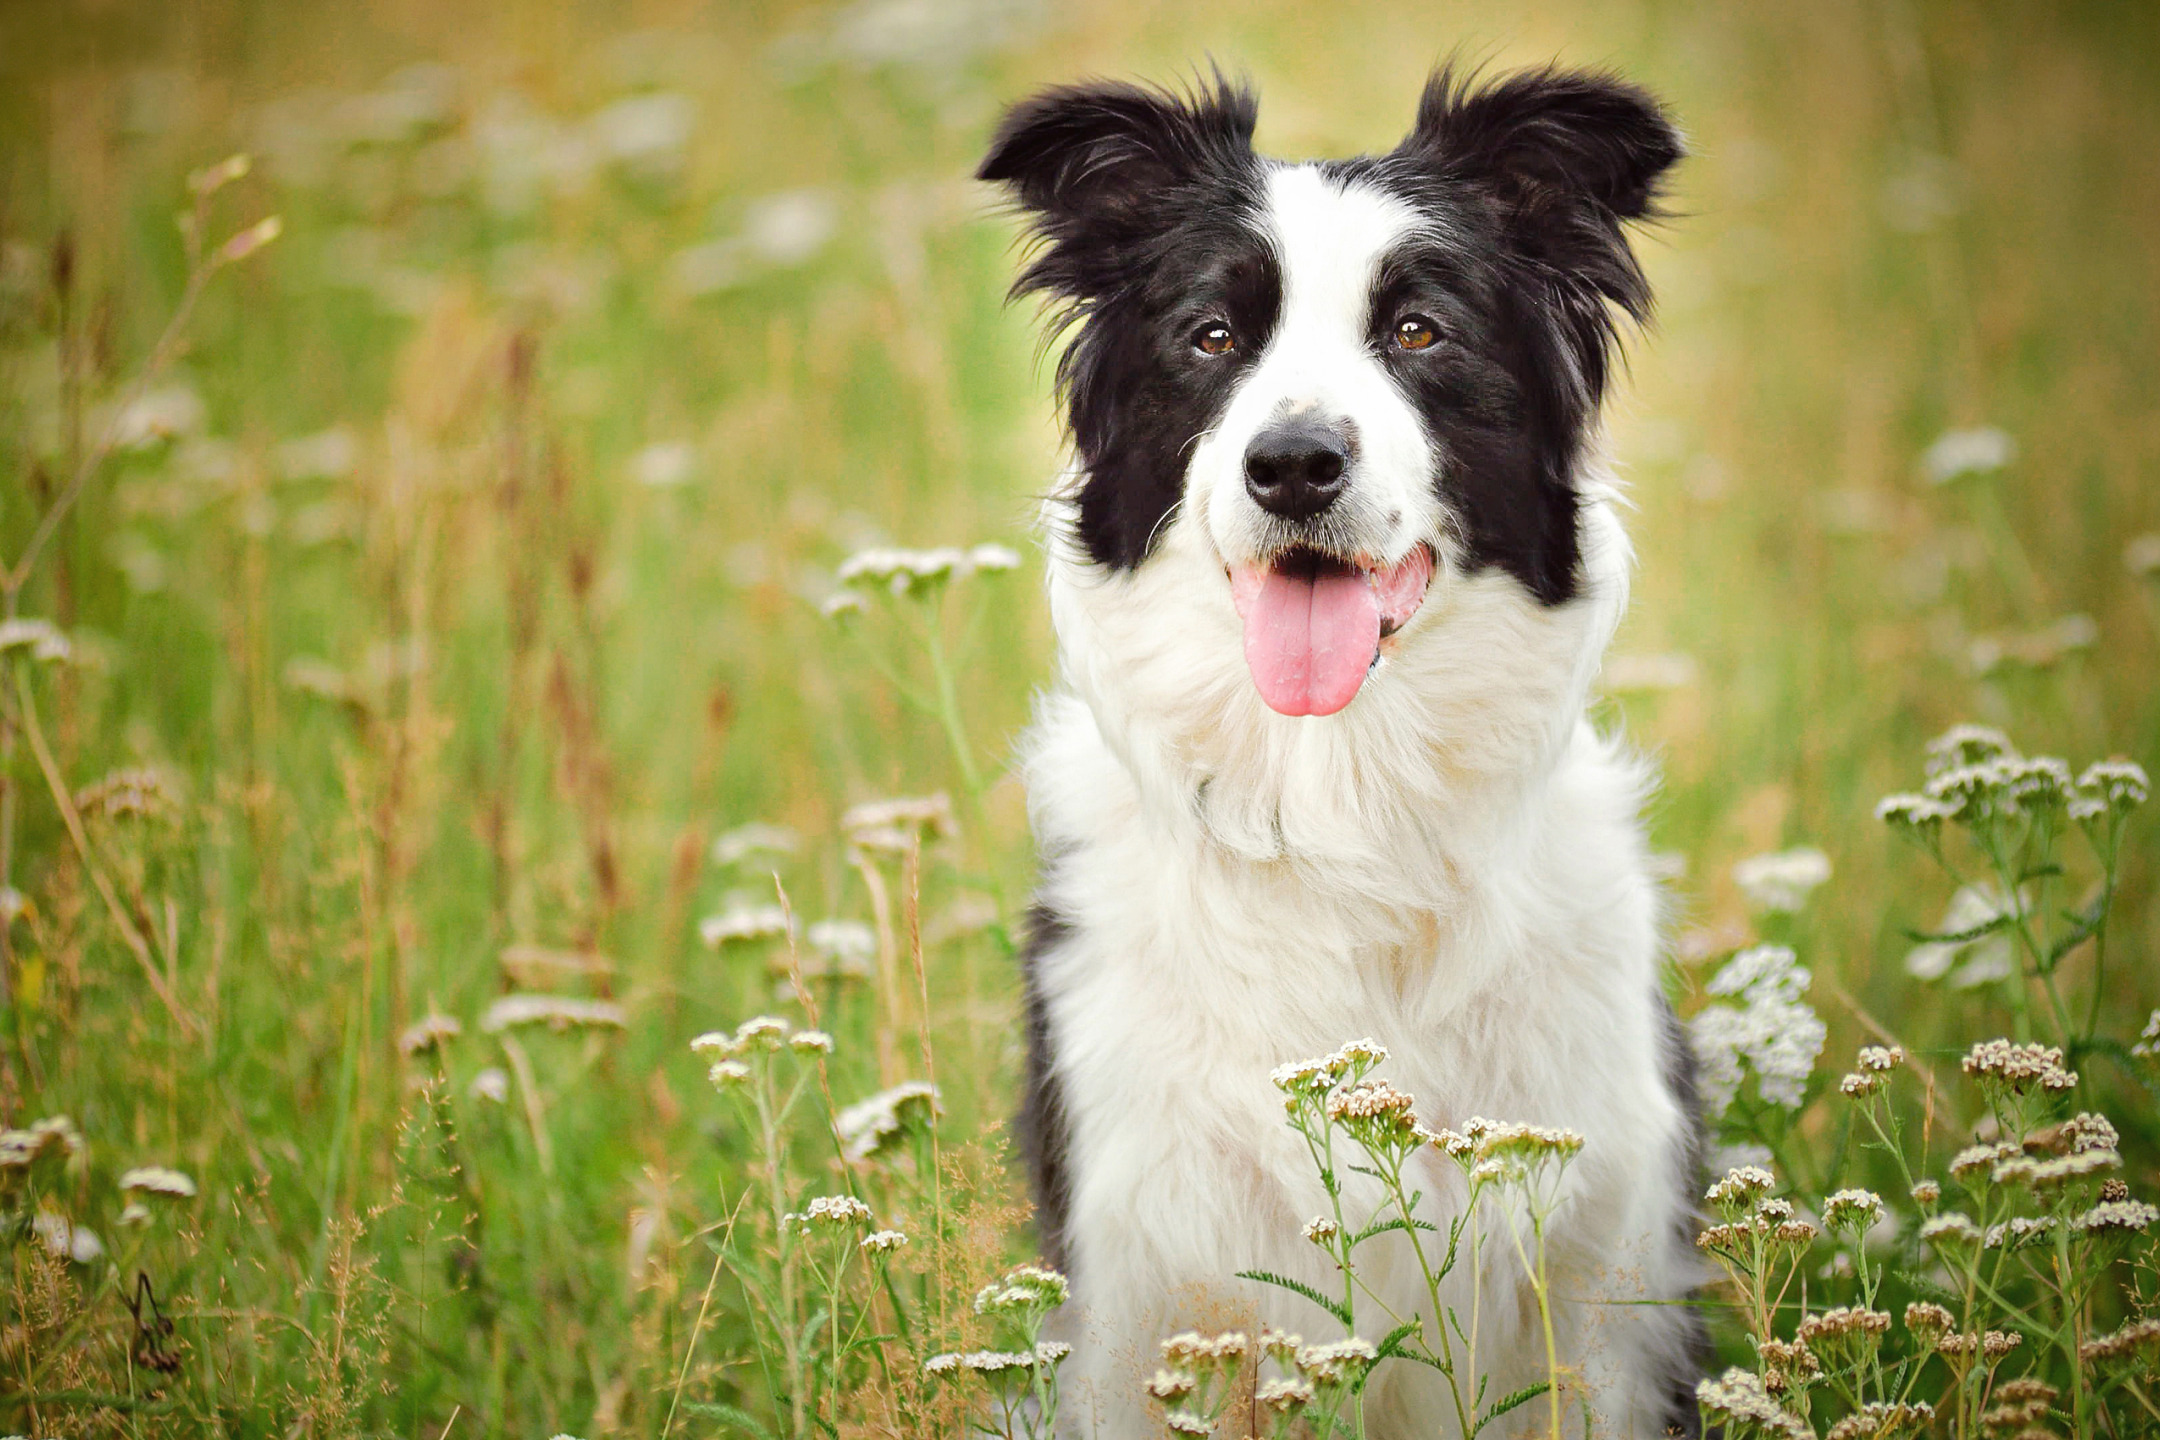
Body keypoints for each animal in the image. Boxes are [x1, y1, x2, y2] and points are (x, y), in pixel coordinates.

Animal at [980, 62, 1702, 1433]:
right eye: (1212, 336)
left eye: (1419, 331)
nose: (1294, 463)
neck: (1340, 806)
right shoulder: (1136, 1286)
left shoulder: (1608, 1287)